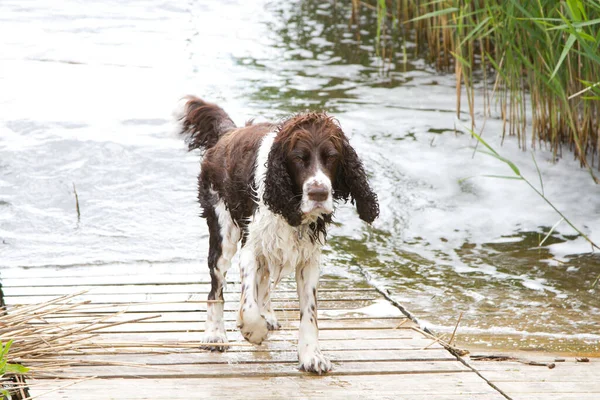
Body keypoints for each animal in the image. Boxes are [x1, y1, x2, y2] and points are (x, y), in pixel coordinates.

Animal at [177, 97, 380, 376]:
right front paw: (253, 331)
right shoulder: (250, 248)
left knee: (263, 280)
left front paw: (311, 355)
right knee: (216, 287)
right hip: (222, 232)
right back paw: (215, 334)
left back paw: (268, 315)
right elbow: (247, 305)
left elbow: (309, 313)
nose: (318, 193)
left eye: (331, 157)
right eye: (298, 158)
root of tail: (228, 133)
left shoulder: (309, 259)